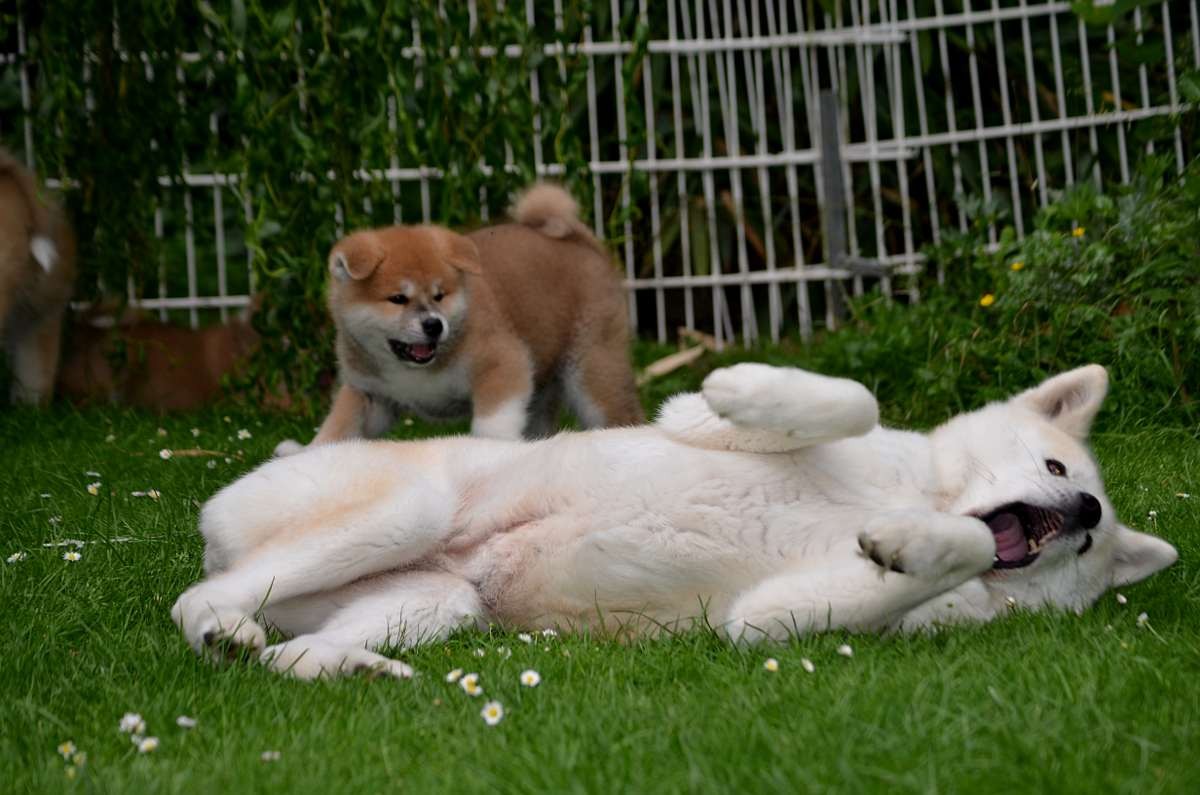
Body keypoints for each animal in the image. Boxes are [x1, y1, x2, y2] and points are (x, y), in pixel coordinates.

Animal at [174, 363, 1177, 679]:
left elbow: (935, 555)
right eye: (1056, 467)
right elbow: (849, 396)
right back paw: (228, 632)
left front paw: (910, 547)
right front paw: (743, 385)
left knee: (291, 650)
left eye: (1090, 545)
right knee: (195, 600)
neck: (918, 491)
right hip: (412, 514)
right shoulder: (697, 419)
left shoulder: (764, 622)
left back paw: (352, 671)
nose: (1086, 509)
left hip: (435, 601)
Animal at [274, 184, 642, 456]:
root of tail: (583, 241)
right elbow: (337, 427)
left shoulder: (502, 363)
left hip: (592, 368)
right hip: (544, 388)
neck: (411, 369)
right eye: (398, 299)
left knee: (619, 412)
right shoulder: (370, 394)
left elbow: (492, 422)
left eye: (439, 295)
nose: (434, 325)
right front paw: (305, 452)